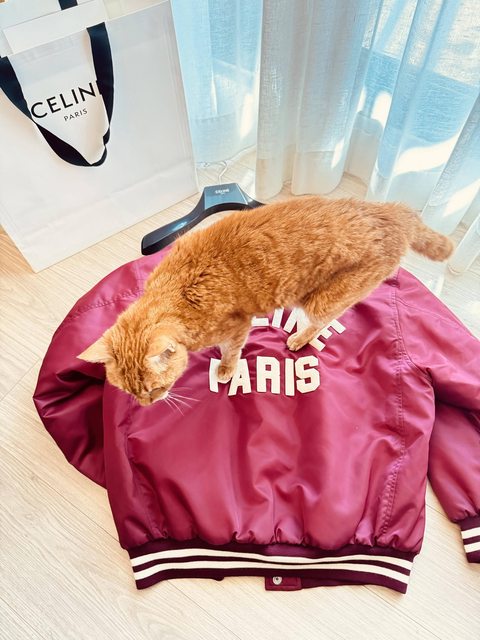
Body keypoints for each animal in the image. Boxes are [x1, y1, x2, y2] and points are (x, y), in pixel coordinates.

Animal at [79, 196, 453, 406]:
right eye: (131, 393)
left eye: (156, 388)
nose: (146, 406)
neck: (178, 290)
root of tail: (393, 211)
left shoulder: (236, 327)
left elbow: (232, 352)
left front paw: (225, 370)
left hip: (325, 299)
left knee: (327, 318)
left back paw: (300, 337)